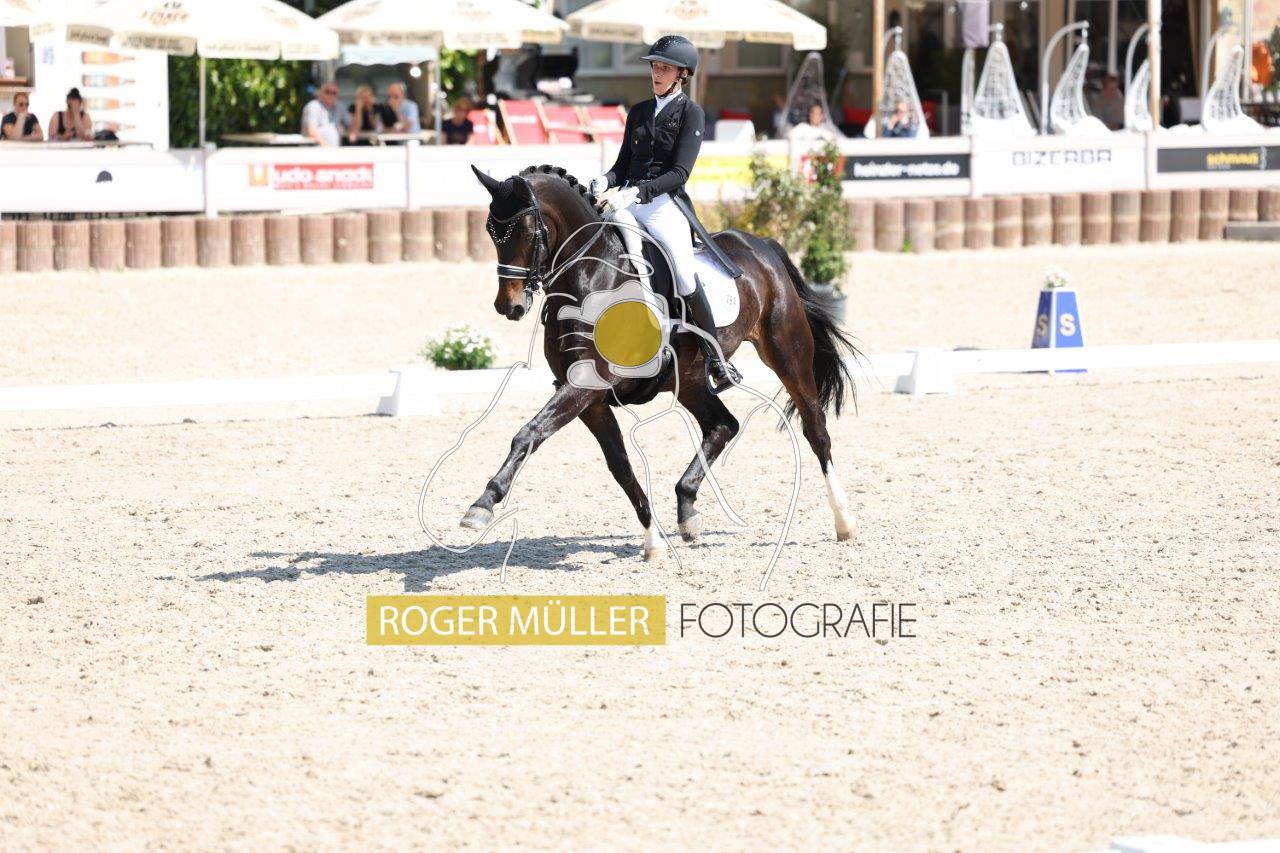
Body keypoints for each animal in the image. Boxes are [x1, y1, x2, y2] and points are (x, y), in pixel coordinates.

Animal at [460, 164, 861, 562]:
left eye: (528, 232)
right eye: (492, 232)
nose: (509, 306)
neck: (591, 279)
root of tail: (761, 246)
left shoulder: (586, 384)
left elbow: (528, 433)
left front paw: (482, 504)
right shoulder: (589, 398)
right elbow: (619, 465)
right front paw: (653, 540)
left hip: (788, 355)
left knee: (815, 430)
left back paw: (844, 521)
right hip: (690, 379)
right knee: (723, 425)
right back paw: (687, 511)